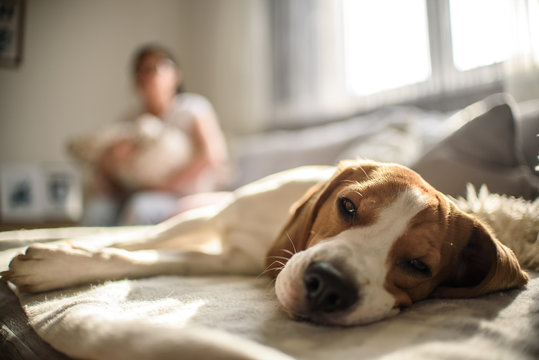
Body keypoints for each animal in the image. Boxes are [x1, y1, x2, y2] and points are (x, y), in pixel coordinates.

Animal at [1, 160, 532, 326]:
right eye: (348, 206)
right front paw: (53, 253)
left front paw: (57, 263)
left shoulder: (225, 261)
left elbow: (144, 257)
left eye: (420, 266)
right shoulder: (212, 214)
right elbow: (133, 238)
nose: (328, 286)